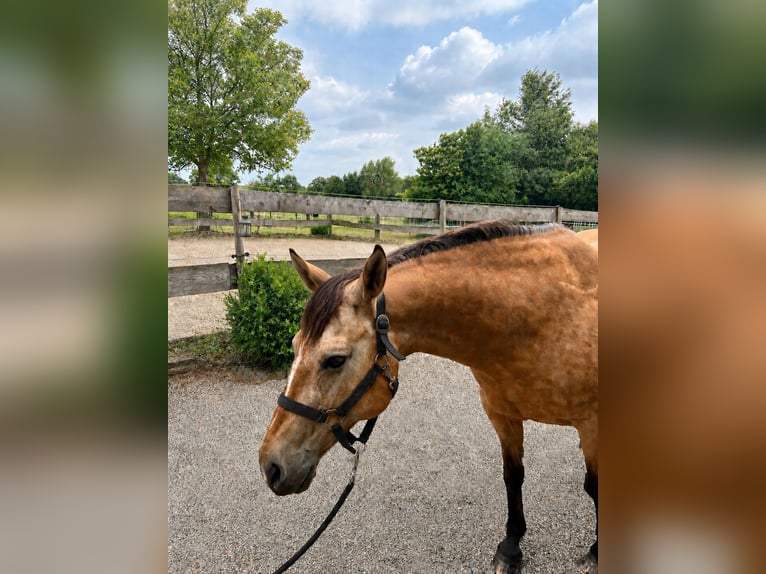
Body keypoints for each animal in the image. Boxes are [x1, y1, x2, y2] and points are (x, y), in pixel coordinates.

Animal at [259, 220, 598, 573]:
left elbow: (594, 487)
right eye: (294, 346)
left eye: (335, 360)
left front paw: (596, 551)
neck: (542, 316)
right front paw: (511, 546)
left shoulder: (592, 423)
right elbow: (513, 477)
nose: (272, 466)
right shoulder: (502, 415)